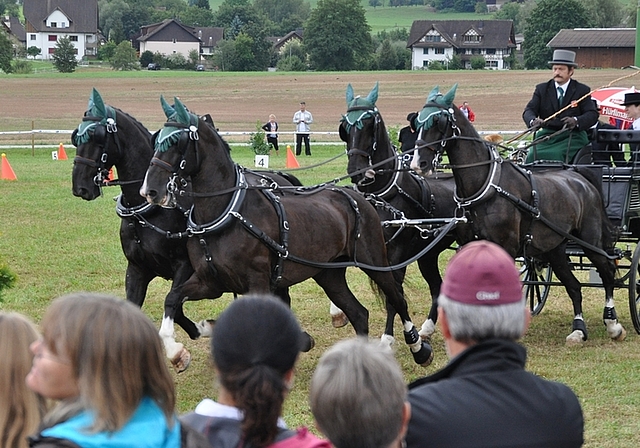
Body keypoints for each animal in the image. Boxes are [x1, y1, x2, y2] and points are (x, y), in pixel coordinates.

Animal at [72, 88, 320, 372]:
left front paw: (184, 346)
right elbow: (139, 305)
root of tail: (280, 177)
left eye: (97, 136)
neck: (148, 213)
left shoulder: (184, 266)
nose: (80, 186)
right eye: (76, 135)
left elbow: (175, 304)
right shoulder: (137, 268)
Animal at [138, 96, 432, 366]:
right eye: (157, 140)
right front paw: (177, 347)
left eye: (177, 142)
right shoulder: (210, 282)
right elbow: (173, 298)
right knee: (359, 314)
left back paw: (418, 347)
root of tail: (358, 196)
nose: (149, 190)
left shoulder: (257, 283)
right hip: (328, 274)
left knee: (397, 298)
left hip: (375, 262)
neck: (226, 213)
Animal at [340, 83, 460, 340]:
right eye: (344, 127)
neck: (383, 195)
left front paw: (388, 339)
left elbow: (394, 297)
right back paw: (428, 328)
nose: (356, 169)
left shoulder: (397, 256)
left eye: (369, 124)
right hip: (427, 254)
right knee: (437, 286)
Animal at [410, 83, 624, 344]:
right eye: (417, 122)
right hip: (555, 248)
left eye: (438, 122)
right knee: (574, 286)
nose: (418, 164)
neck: (486, 185)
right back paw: (578, 329)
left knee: (607, 271)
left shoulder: (507, 247)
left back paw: (612, 323)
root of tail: (579, 176)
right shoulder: (470, 244)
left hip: (589, 241)